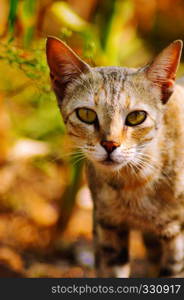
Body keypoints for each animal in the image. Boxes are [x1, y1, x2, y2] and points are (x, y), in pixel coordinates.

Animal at [45, 37, 184, 278]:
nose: (110, 144)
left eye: (136, 117)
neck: (134, 183)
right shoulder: (108, 227)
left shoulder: (177, 241)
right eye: (86, 114)